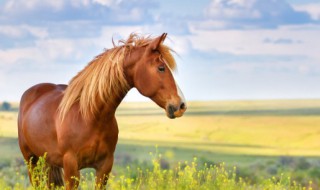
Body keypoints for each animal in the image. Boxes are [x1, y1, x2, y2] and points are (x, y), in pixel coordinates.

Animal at [17, 32, 188, 189]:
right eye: (161, 68)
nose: (181, 105)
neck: (90, 116)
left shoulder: (104, 168)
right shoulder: (71, 168)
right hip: (31, 161)